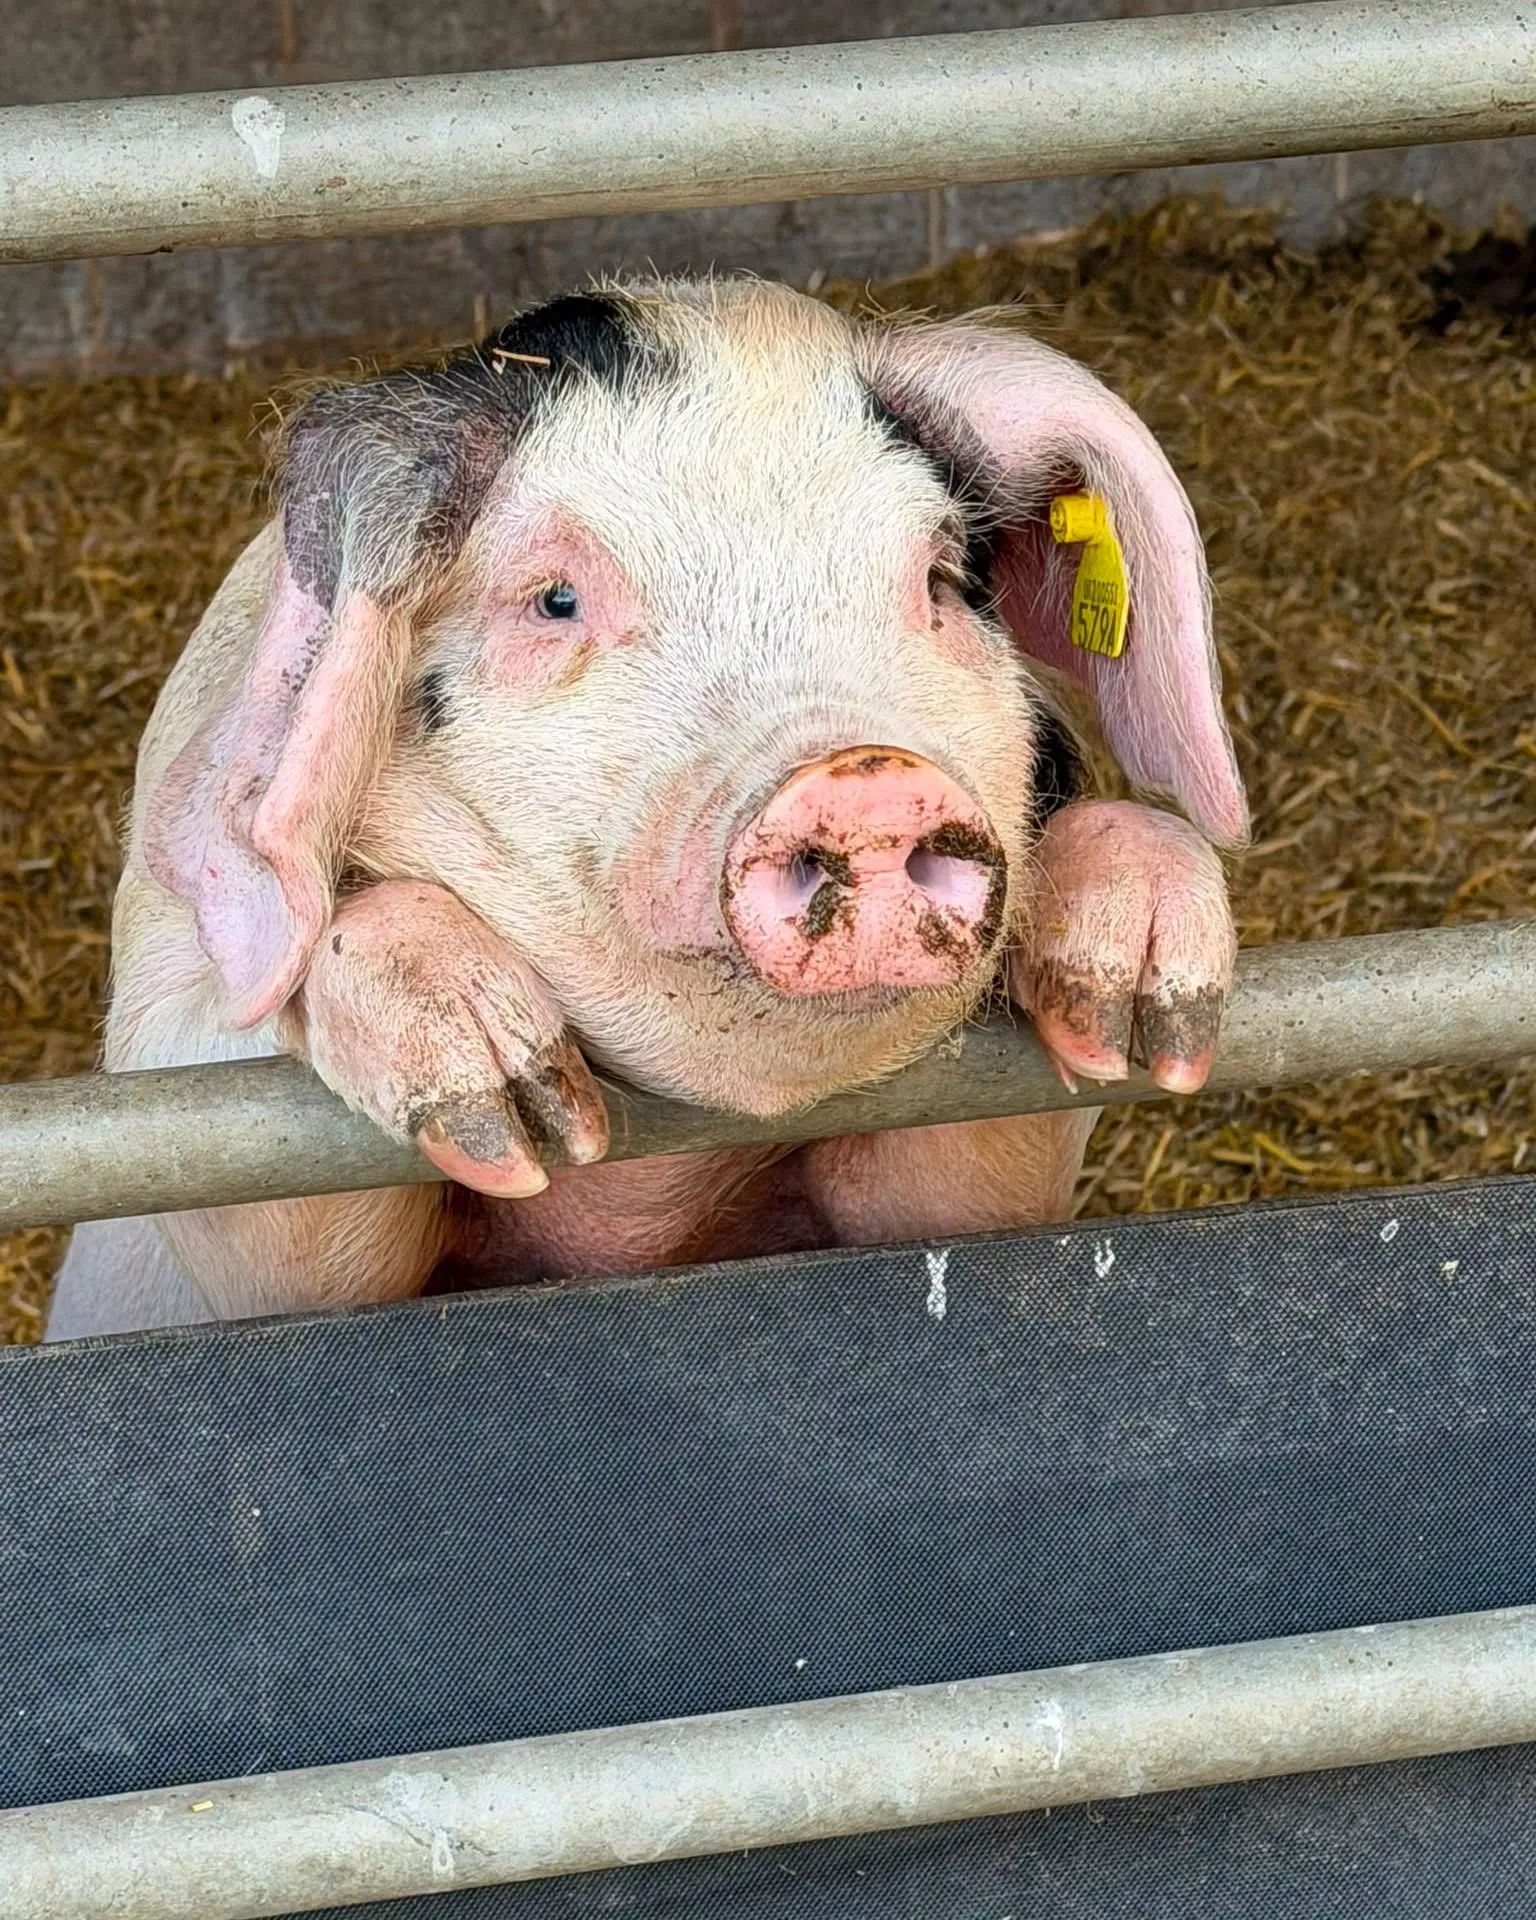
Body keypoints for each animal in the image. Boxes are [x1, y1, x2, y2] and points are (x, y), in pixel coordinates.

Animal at [44, 278, 1244, 1340]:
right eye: (555, 600)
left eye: (944, 581)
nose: (864, 775)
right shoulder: (176, 1086)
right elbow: (274, 1221)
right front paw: (518, 1103)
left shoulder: (964, 1174)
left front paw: (1145, 1021)